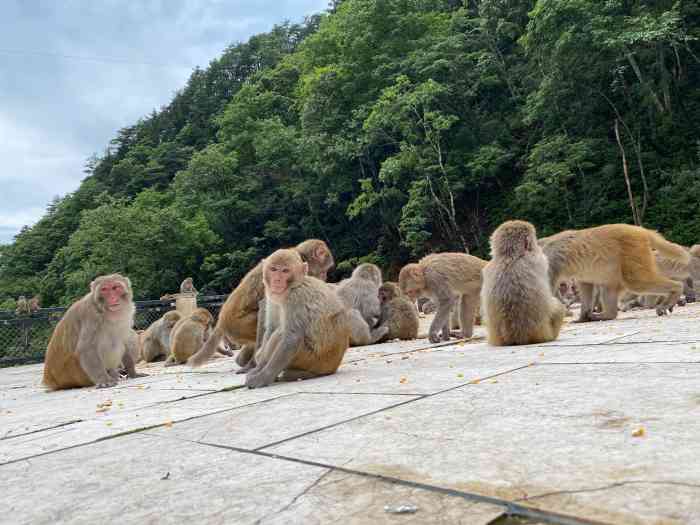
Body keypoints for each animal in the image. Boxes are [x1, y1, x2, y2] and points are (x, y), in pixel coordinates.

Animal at [189, 238, 334, 366]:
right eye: (325, 269)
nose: (325, 276)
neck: (300, 255)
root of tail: (221, 320)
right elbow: (265, 304)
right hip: (239, 326)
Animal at [245, 248, 352, 386]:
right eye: (273, 269)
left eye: (285, 271)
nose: (277, 280)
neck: (292, 287)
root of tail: (333, 367)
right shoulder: (271, 297)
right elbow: (271, 328)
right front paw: (258, 369)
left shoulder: (296, 297)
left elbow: (292, 338)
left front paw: (262, 377)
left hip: (311, 360)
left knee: (281, 333)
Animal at [540, 222, 688, 320]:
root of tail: (641, 231)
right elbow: (587, 285)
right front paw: (582, 317)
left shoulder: (551, 261)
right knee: (608, 287)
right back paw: (607, 315)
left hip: (633, 250)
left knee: (635, 281)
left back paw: (676, 290)